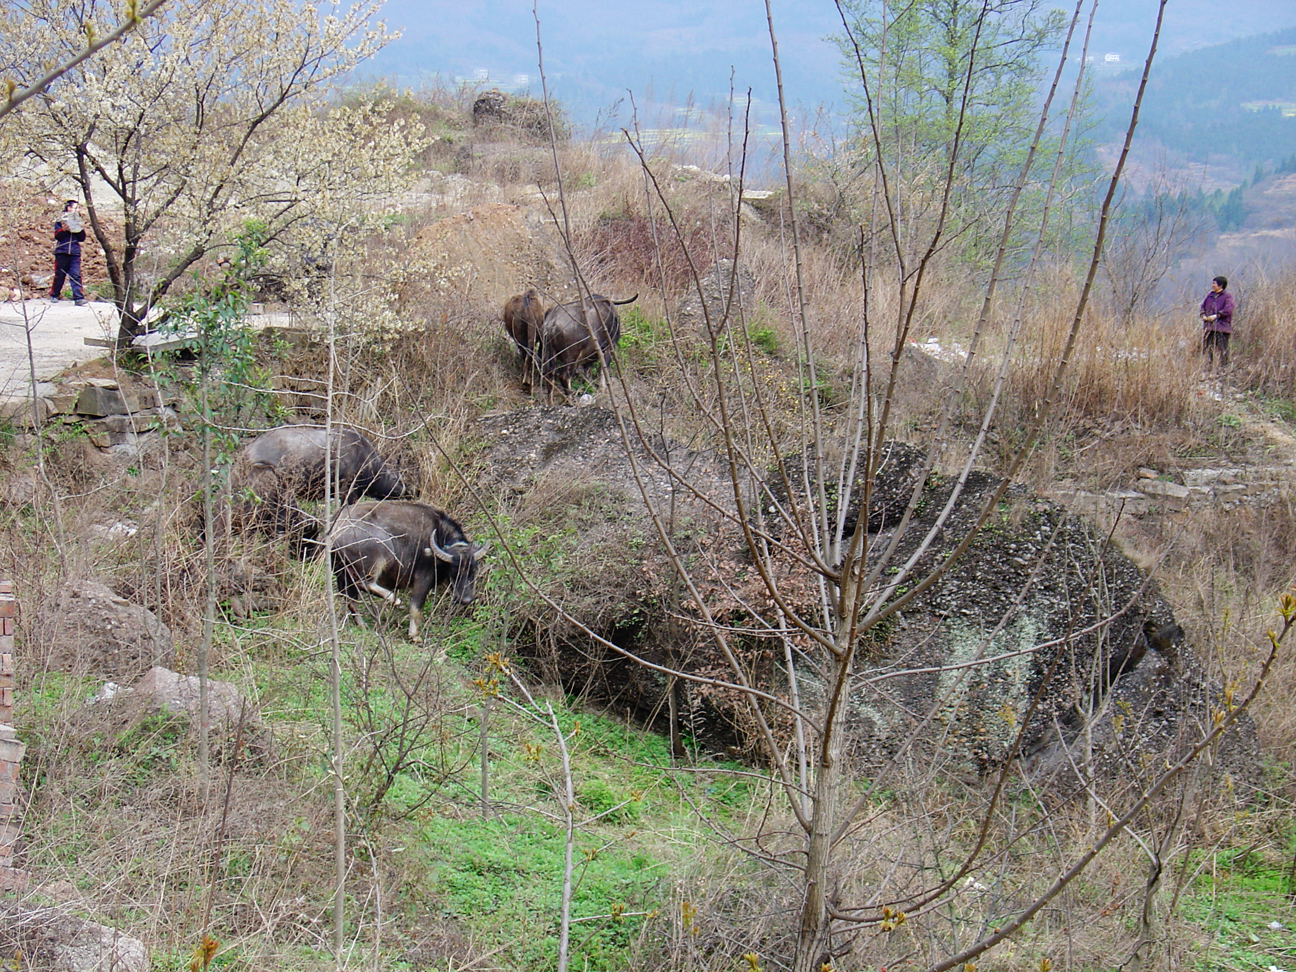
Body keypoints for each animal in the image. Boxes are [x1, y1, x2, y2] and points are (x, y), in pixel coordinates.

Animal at [326, 502, 487, 640]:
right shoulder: (423, 579)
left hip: (341, 572)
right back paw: (394, 599)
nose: (466, 599)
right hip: (381, 555)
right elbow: (416, 607)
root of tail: (337, 524)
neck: (438, 535)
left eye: (473, 570)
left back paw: (362, 625)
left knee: (351, 599)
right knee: (365, 583)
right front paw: (414, 636)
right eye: (454, 570)